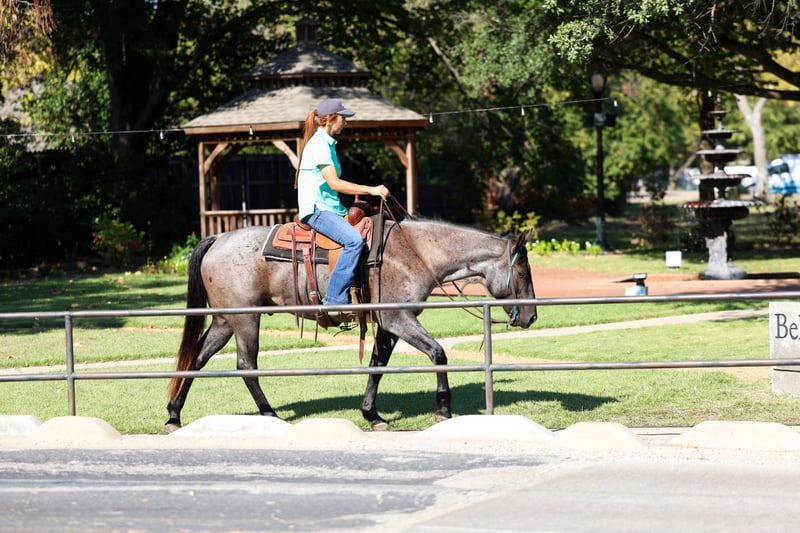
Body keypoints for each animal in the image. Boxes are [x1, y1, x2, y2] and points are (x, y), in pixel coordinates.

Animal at [165, 216, 537, 432]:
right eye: (522, 272)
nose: (532, 316)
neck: (415, 252)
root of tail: (217, 239)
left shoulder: (388, 325)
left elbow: (377, 366)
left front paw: (372, 415)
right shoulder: (398, 317)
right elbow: (438, 353)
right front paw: (443, 410)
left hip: (225, 320)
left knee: (196, 359)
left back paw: (173, 415)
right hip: (245, 319)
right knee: (246, 364)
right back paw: (269, 414)